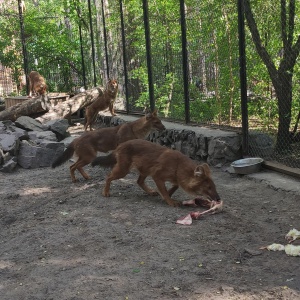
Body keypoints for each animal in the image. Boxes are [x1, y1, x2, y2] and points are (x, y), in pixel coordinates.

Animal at [91, 139, 220, 206]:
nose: (219, 199)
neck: (178, 166)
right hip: (123, 170)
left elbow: (175, 186)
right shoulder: (157, 175)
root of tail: (121, 145)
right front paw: (170, 201)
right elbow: (166, 190)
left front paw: (167, 194)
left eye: (214, 187)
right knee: (108, 176)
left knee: (139, 181)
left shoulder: (175, 178)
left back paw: (151, 192)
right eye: (208, 188)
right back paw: (105, 192)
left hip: (145, 169)